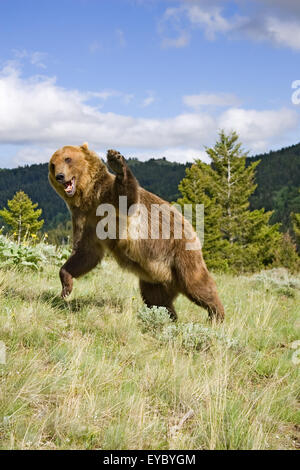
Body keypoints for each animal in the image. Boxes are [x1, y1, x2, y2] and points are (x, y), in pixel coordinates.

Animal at [48, 142, 224, 320]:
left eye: (68, 159)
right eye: (53, 165)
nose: (60, 176)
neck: (88, 196)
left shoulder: (108, 199)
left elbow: (127, 200)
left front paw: (116, 161)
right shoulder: (84, 218)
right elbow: (86, 252)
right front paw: (66, 286)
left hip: (179, 252)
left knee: (196, 284)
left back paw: (216, 314)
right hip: (154, 277)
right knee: (156, 299)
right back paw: (168, 316)